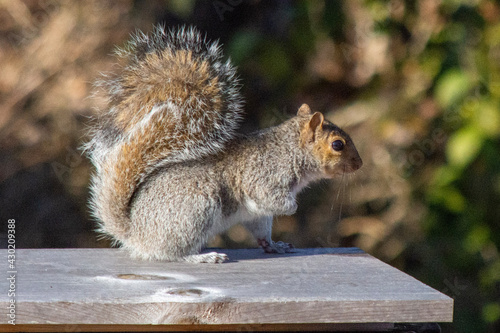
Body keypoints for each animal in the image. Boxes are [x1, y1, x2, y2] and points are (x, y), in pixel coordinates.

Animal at [84, 26, 362, 264]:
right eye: (338, 144)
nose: (359, 164)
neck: (289, 150)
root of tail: (135, 233)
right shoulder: (265, 176)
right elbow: (268, 196)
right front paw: (293, 207)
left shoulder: (259, 213)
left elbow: (262, 226)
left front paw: (275, 245)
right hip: (195, 210)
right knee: (171, 253)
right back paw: (201, 256)